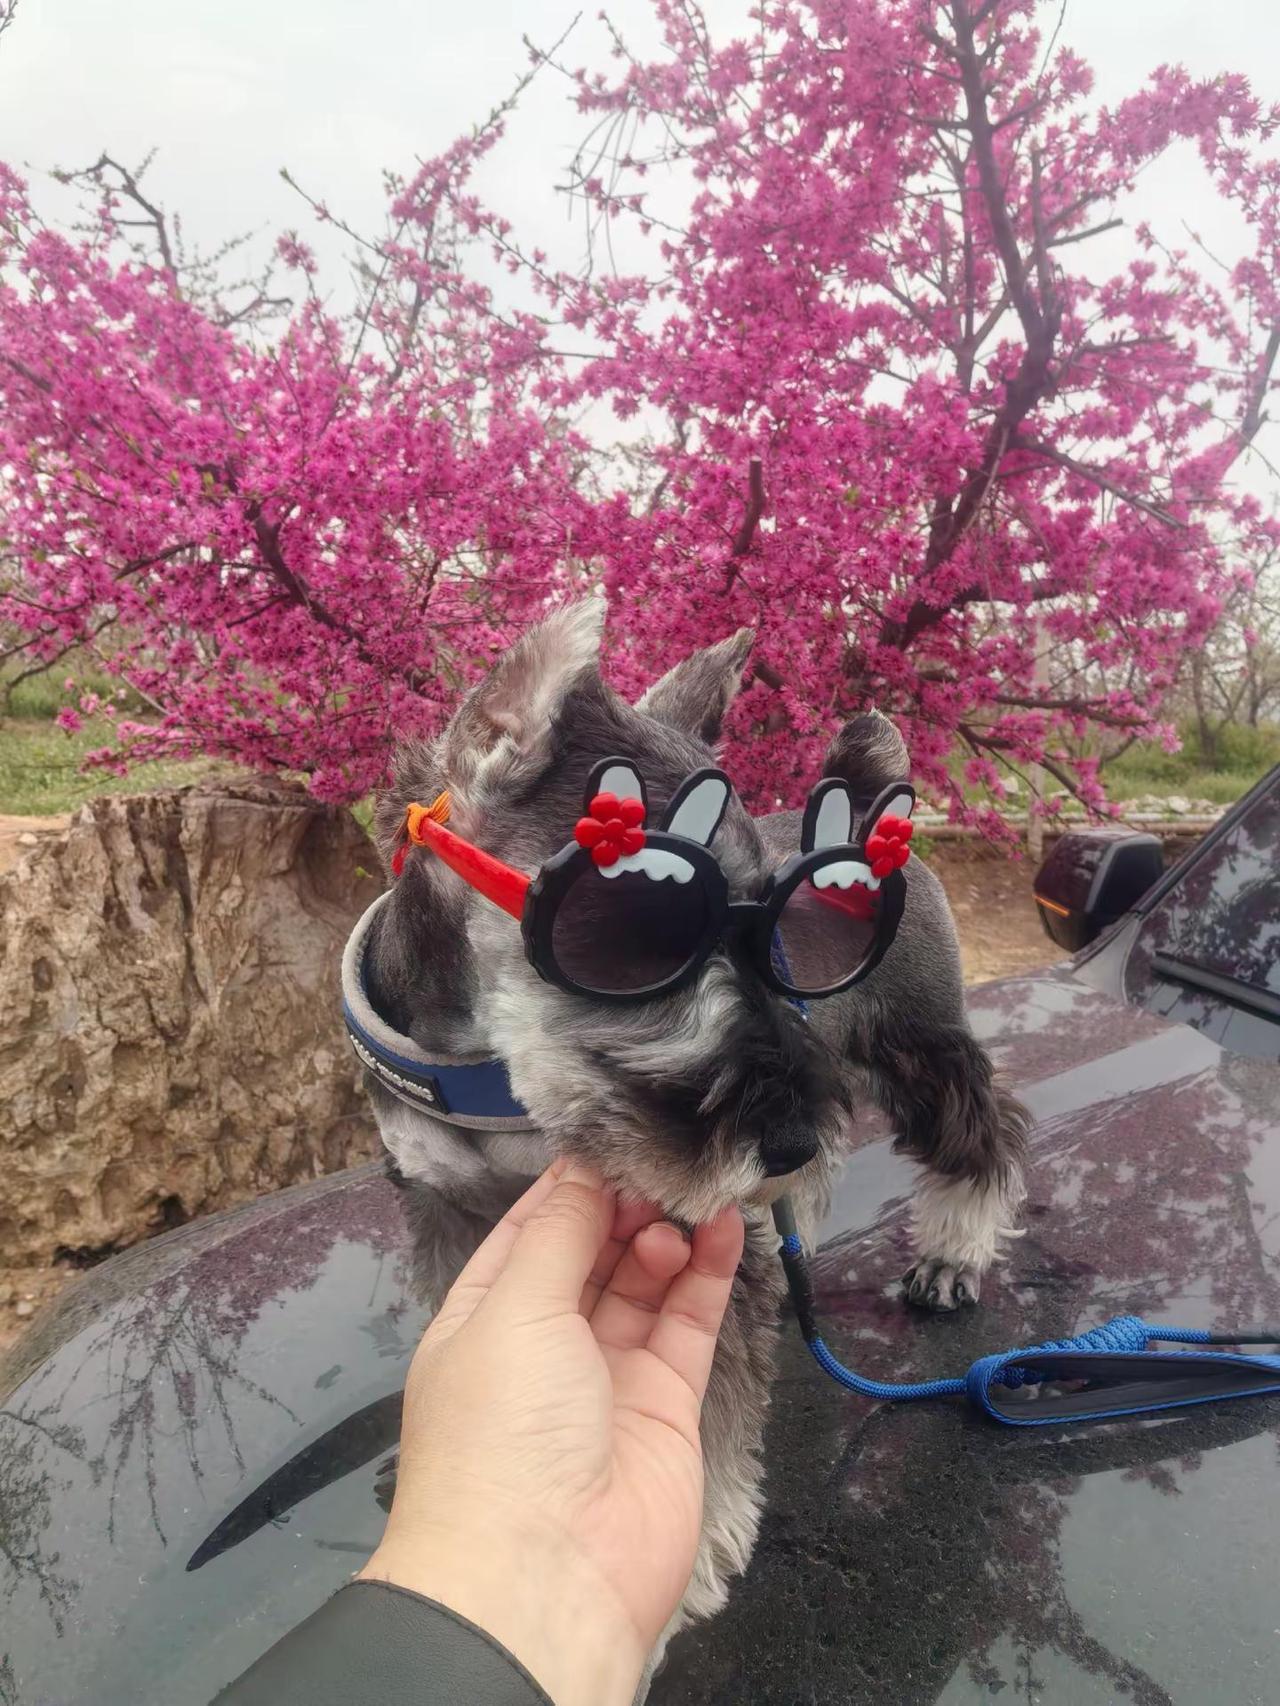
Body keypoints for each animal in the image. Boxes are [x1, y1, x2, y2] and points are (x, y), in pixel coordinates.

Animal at [347, 602, 1028, 1689]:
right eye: (641, 923)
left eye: (765, 924)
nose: (779, 1137)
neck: (485, 1068)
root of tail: (874, 820)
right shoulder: (442, 1202)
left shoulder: (700, 1217)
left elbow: (704, 1420)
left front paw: (678, 1561)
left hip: (913, 1044)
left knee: (984, 1129)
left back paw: (953, 1252)